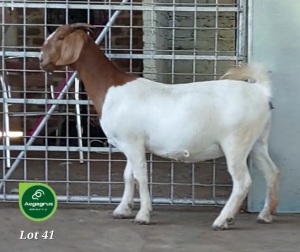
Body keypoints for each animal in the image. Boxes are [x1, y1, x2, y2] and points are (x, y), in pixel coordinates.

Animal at [39, 23, 278, 230]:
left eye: (60, 37)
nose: (41, 60)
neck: (111, 88)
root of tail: (261, 92)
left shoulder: (133, 142)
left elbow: (140, 176)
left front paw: (143, 215)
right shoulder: (129, 144)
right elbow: (128, 175)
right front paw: (122, 210)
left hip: (236, 142)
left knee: (242, 181)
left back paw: (222, 220)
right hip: (257, 141)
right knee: (271, 171)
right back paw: (265, 215)